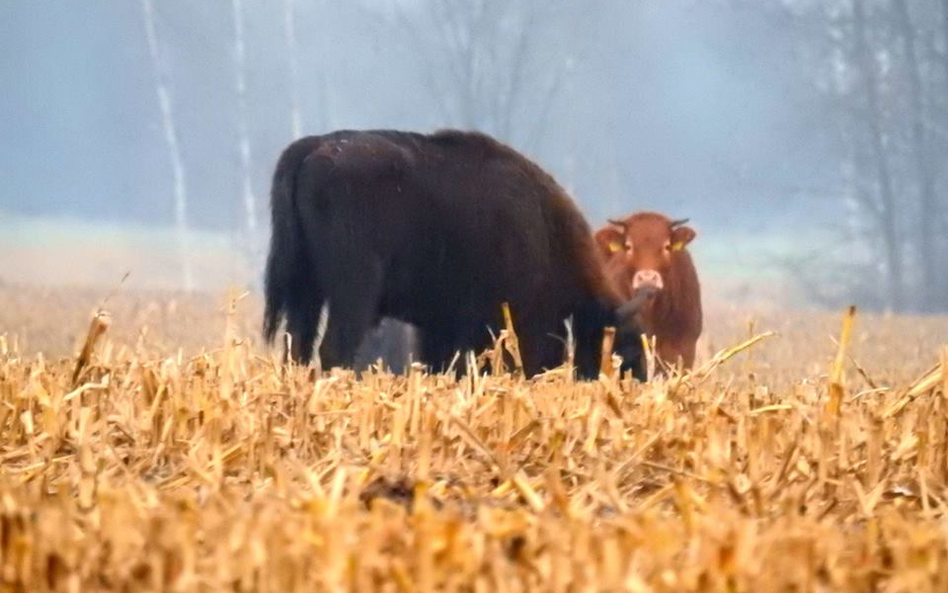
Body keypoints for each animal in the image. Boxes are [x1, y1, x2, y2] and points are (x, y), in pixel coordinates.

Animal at [262, 129, 648, 380]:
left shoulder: (441, 326)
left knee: (297, 346)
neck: (545, 230)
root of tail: (313, 148)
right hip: (352, 294)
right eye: (624, 346)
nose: (640, 379)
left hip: (305, 291)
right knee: (334, 349)